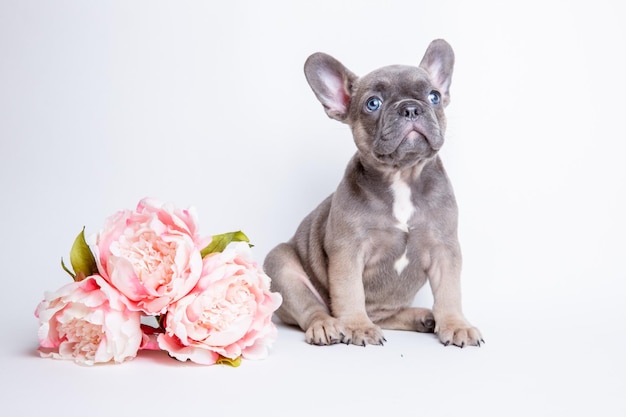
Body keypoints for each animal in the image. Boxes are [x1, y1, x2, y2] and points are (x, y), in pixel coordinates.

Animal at [264, 39, 482, 346]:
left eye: (434, 96)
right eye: (373, 103)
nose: (411, 108)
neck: (402, 176)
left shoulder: (445, 249)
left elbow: (450, 292)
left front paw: (456, 324)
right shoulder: (348, 251)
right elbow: (350, 291)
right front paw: (357, 326)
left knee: (384, 315)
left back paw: (423, 318)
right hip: (280, 266)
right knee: (312, 307)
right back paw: (327, 326)